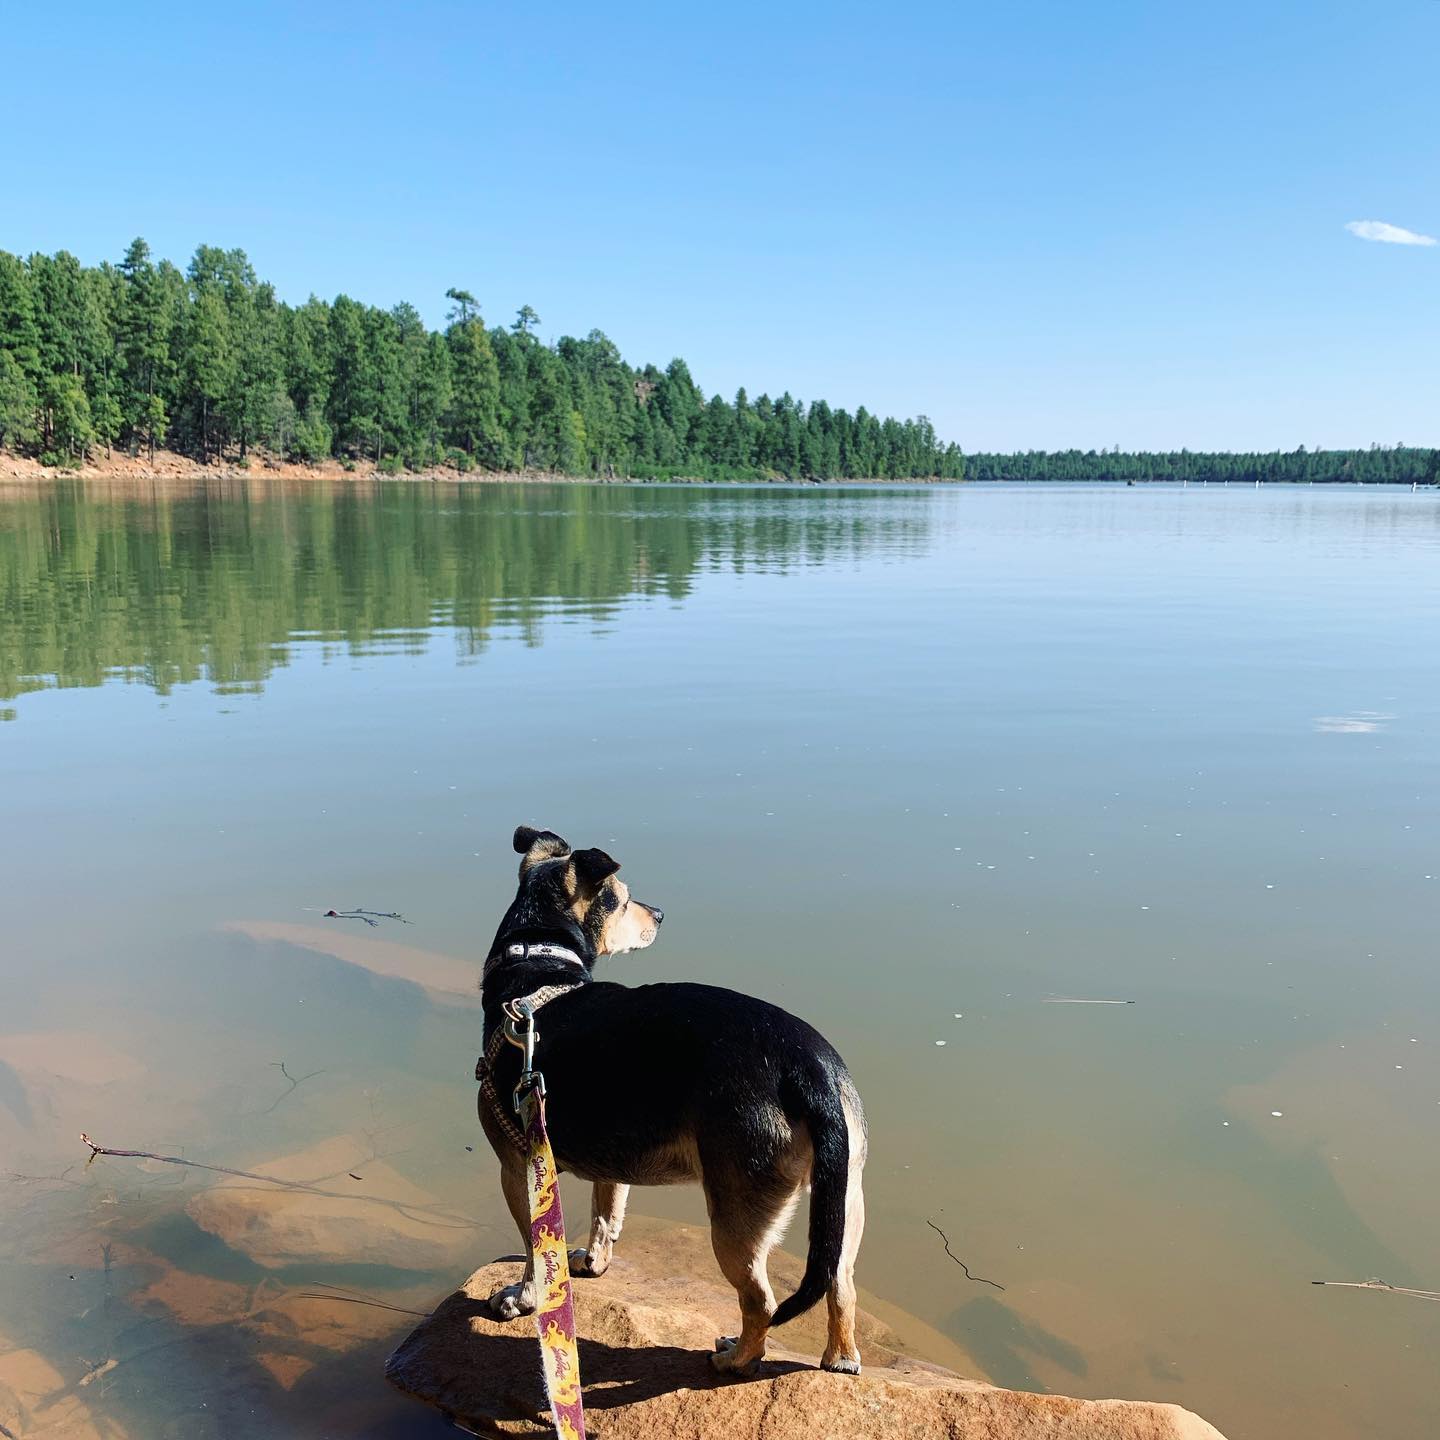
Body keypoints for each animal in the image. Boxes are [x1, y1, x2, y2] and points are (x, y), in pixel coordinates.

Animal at [480, 823, 864, 1370]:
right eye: (623, 901)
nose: (659, 913)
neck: (538, 969)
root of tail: (808, 1067)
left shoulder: (518, 1166)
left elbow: (536, 1248)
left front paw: (524, 1298)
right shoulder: (610, 1160)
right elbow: (605, 1214)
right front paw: (593, 1264)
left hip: (735, 1214)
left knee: (762, 1302)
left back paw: (734, 1361)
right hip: (844, 1196)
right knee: (840, 1282)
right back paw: (840, 1358)